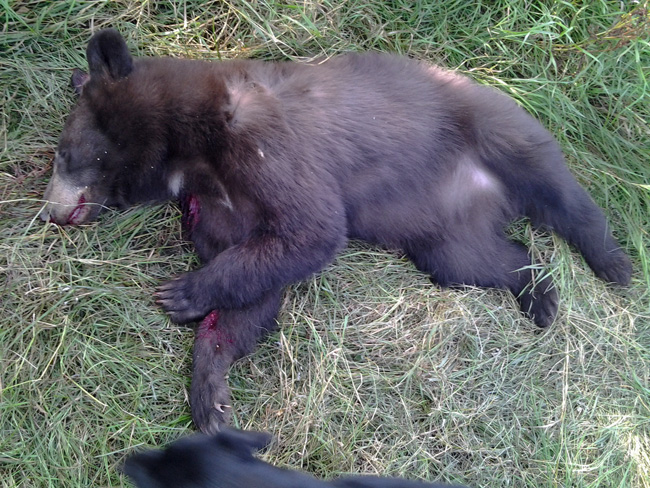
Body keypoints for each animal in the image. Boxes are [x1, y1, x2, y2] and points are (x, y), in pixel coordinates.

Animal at [40, 30, 628, 432]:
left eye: (65, 154)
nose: (50, 211)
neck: (192, 155)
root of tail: (487, 196)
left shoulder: (265, 141)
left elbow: (312, 229)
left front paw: (182, 291)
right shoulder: (218, 205)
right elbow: (258, 279)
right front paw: (212, 396)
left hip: (496, 128)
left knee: (559, 192)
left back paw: (614, 263)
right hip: (442, 235)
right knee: (482, 259)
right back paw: (539, 295)